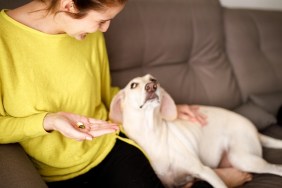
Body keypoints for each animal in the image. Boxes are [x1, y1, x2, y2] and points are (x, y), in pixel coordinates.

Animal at [109, 74, 282, 187]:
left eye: (153, 80)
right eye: (133, 85)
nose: (152, 86)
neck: (152, 133)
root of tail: (255, 130)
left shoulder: (205, 171)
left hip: (242, 158)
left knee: (276, 168)